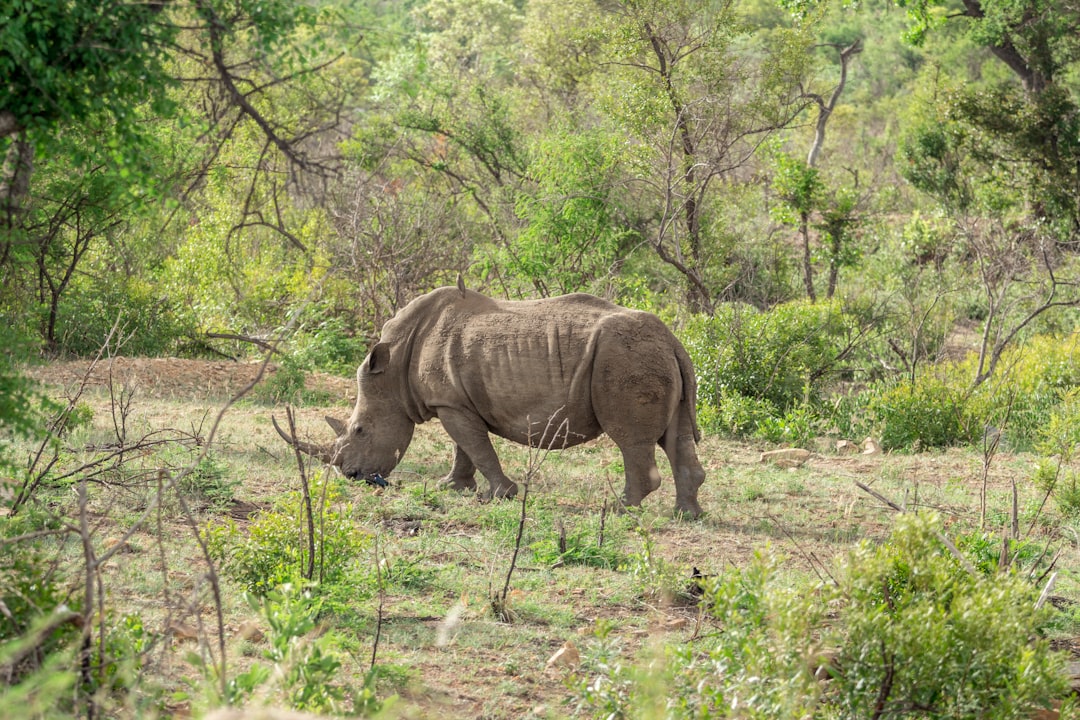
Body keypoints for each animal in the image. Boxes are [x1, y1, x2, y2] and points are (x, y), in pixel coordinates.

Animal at [274, 284, 704, 515]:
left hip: (625, 357)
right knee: (676, 436)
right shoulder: (453, 400)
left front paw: (501, 495)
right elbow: (463, 447)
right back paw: (686, 515)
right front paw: (451, 487)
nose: (352, 476)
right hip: (654, 355)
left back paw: (617, 509)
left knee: (630, 439)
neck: (394, 368)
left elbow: (476, 447)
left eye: (361, 430)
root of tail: (673, 340)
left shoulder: (450, 403)